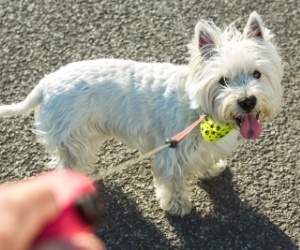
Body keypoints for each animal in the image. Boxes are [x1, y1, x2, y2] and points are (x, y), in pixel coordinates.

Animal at [0, 11, 282, 216]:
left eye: (257, 73)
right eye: (223, 80)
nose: (247, 101)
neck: (200, 111)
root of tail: (45, 85)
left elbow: (205, 161)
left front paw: (212, 169)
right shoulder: (169, 152)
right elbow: (172, 182)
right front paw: (178, 207)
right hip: (72, 140)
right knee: (67, 165)